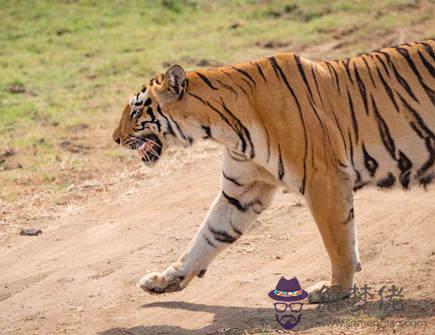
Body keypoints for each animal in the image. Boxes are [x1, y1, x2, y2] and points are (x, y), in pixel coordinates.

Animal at [113, 39, 435, 304]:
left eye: (135, 111)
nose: (115, 139)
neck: (222, 127)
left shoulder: (324, 180)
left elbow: (338, 241)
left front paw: (335, 289)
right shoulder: (242, 190)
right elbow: (208, 236)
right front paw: (164, 281)